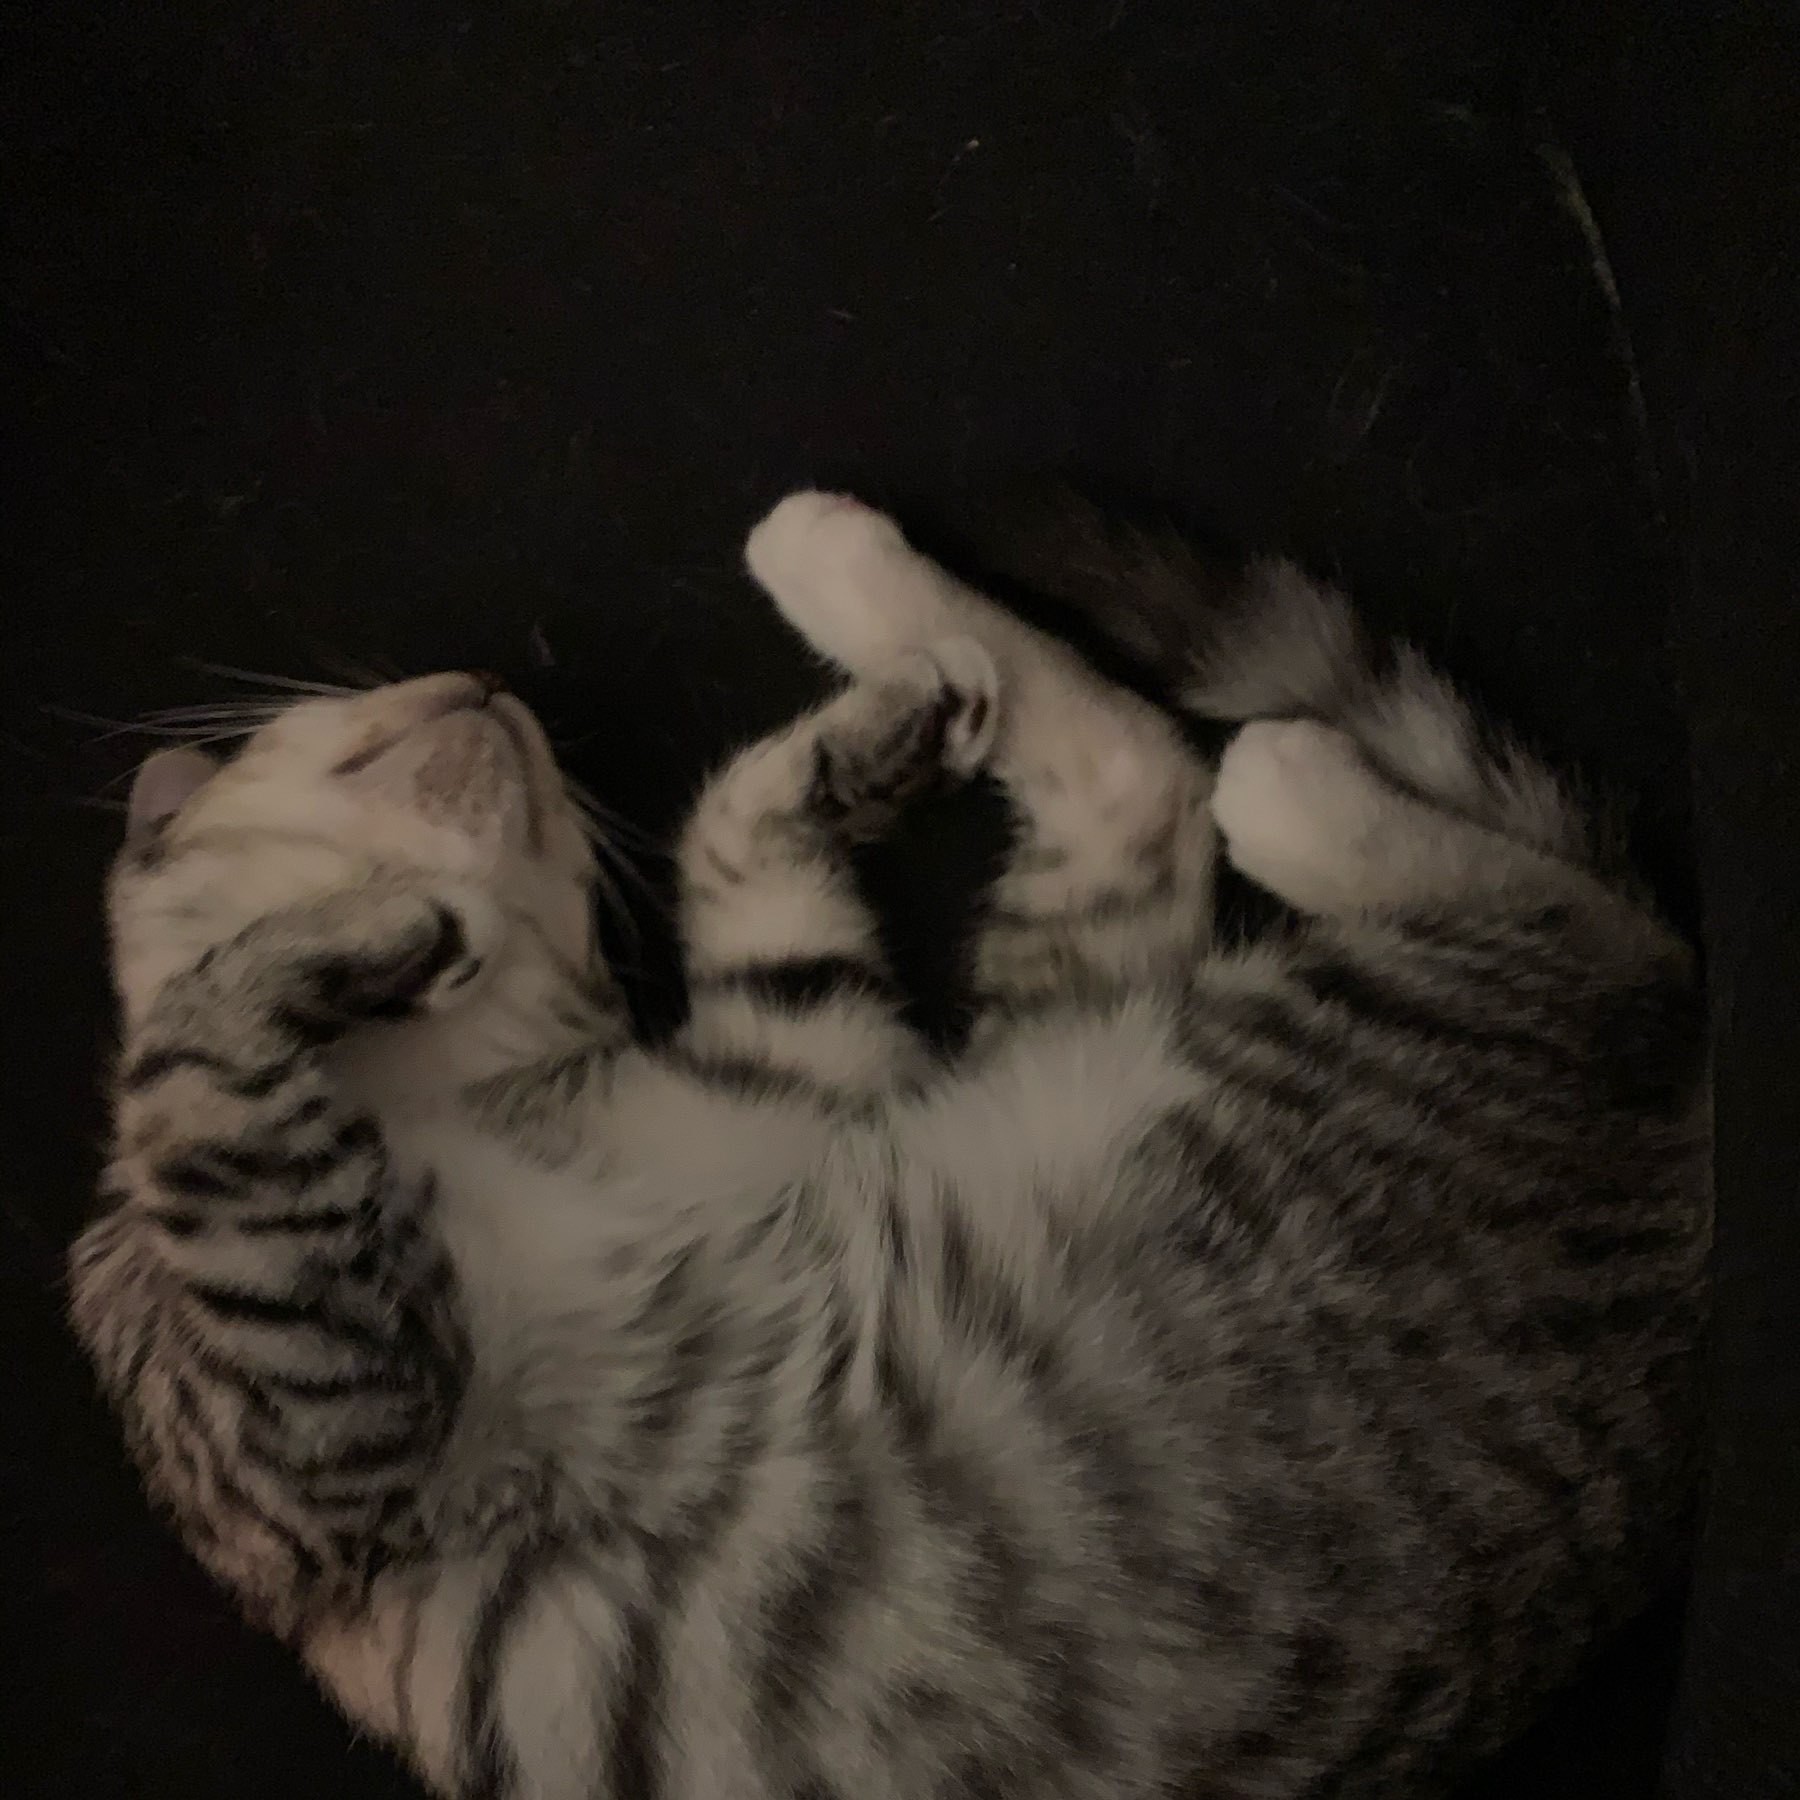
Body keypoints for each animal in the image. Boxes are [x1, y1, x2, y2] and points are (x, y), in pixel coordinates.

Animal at [66, 486, 1699, 1792]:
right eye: (300, 725)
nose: (487, 683)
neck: (486, 1089)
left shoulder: (814, 1068)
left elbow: (743, 856)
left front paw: (860, 742)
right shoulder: (305, 1430)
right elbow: (189, 1068)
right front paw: (365, 932)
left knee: (1226, 796)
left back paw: (881, 601)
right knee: (1349, 842)